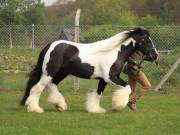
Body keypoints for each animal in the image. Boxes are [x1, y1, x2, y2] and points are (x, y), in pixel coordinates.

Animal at [20, 27, 159, 113]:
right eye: (147, 40)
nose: (156, 55)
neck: (115, 52)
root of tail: (49, 46)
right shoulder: (111, 77)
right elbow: (127, 87)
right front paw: (118, 106)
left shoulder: (103, 80)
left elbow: (98, 94)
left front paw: (95, 110)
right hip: (49, 73)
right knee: (37, 88)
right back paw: (35, 109)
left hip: (62, 73)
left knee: (52, 85)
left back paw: (60, 106)